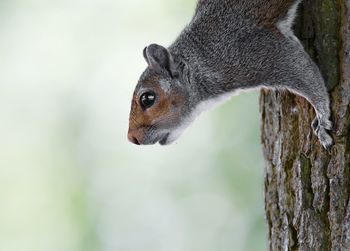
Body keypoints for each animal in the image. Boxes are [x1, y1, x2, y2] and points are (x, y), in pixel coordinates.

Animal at [128, 0, 334, 149]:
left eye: (148, 98)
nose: (132, 138)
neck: (202, 59)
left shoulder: (258, 54)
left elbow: (303, 70)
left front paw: (322, 120)